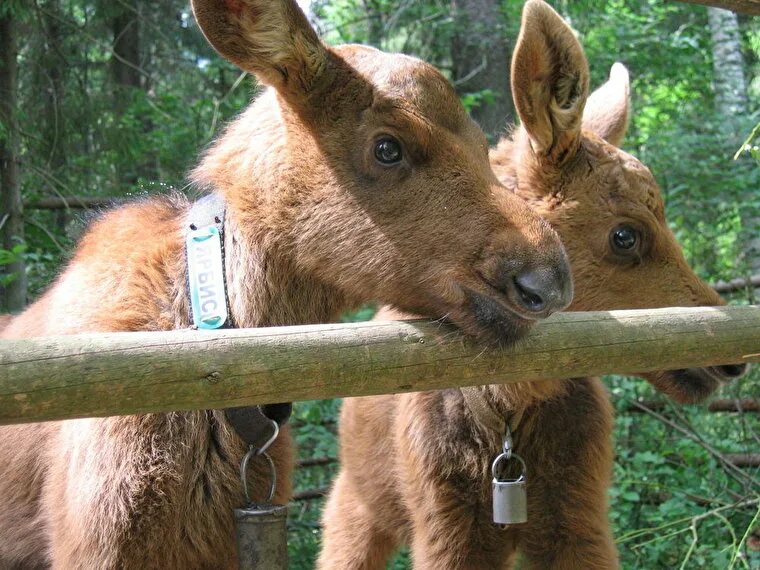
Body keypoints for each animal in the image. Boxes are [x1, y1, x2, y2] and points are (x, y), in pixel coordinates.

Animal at [320, 1, 748, 568]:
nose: (732, 361)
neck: (508, 417)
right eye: (625, 235)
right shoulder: (449, 533)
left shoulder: (580, 521)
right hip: (356, 507)